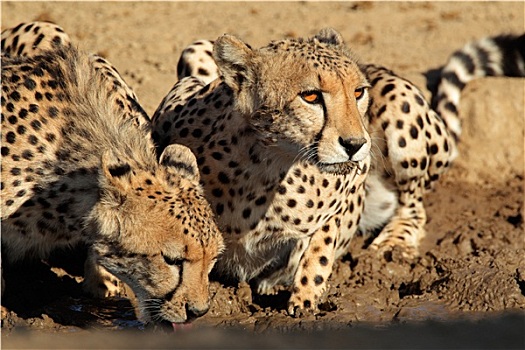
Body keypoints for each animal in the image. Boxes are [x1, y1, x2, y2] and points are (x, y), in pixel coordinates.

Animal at [154, 30, 520, 314]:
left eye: (358, 92)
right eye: (310, 96)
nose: (356, 143)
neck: (265, 163)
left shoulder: (354, 180)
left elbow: (322, 241)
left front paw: (301, 294)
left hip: (399, 105)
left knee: (415, 206)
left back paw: (394, 243)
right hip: (196, 50)